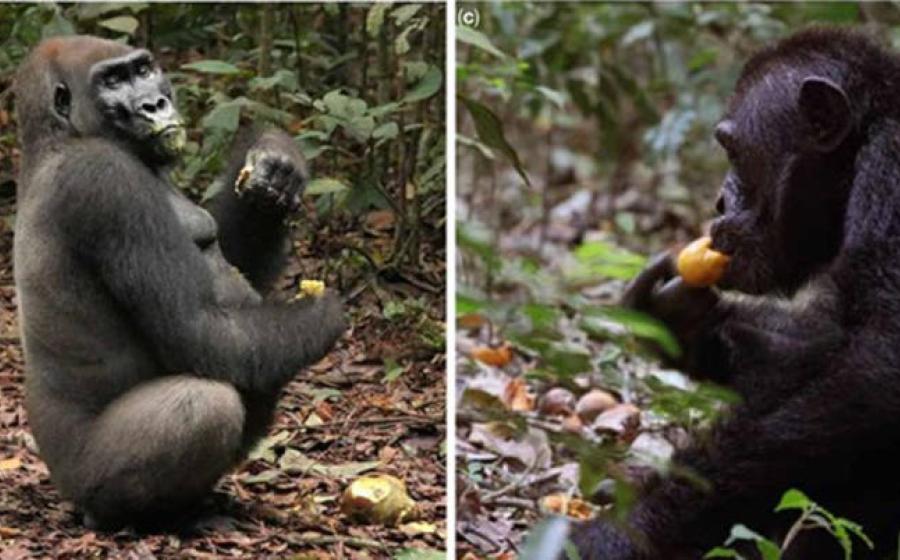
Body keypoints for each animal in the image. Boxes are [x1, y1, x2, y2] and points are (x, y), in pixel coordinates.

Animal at [12, 35, 346, 530]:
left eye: (142, 70)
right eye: (113, 81)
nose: (155, 104)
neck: (56, 138)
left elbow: (236, 263)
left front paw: (276, 165)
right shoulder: (103, 179)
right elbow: (198, 327)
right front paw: (319, 315)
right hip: (81, 475)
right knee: (205, 405)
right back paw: (136, 516)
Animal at [571, 27, 900, 560]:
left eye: (733, 151)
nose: (719, 201)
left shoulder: (889, 177)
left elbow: (872, 371)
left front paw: (623, 531)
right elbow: (822, 342)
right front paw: (678, 321)